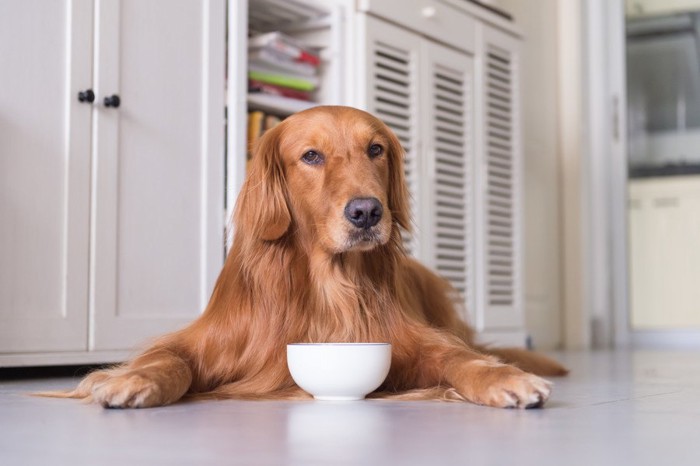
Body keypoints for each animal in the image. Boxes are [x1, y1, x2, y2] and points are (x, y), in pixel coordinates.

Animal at [45, 104, 568, 408]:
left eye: (375, 149)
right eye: (311, 156)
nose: (366, 212)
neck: (327, 284)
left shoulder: (419, 342)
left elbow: (461, 359)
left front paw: (505, 379)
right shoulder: (204, 340)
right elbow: (168, 361)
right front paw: (130, 380)